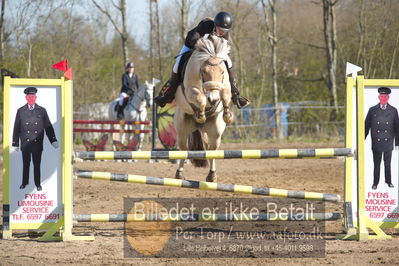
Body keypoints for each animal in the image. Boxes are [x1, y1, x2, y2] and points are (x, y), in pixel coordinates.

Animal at [173, 34, 233, 182]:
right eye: (204, 71)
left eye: (222, 72)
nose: (213, 99)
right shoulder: (189, 90)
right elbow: (200, 97)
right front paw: (200, 114)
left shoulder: (225, 85)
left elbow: (226, 93)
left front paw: (228, 115)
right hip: (182, 130)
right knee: (184, 150)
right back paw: (179, 173)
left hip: (215, 131)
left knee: (212, 150)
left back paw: (212, 175)